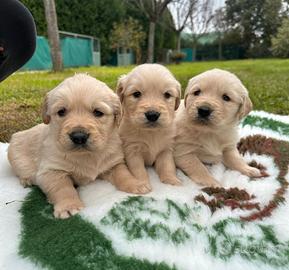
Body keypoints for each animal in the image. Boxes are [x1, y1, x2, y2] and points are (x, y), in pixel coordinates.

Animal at [8, 73, 150, 218]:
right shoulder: (51, 170)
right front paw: (69, 206)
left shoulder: (113, 163)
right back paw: (26, 180)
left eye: (98, 112)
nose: (79, 137)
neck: (85, 155)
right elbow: (63, 188)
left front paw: (136, 184)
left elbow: (123, 173)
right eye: (61, 112)